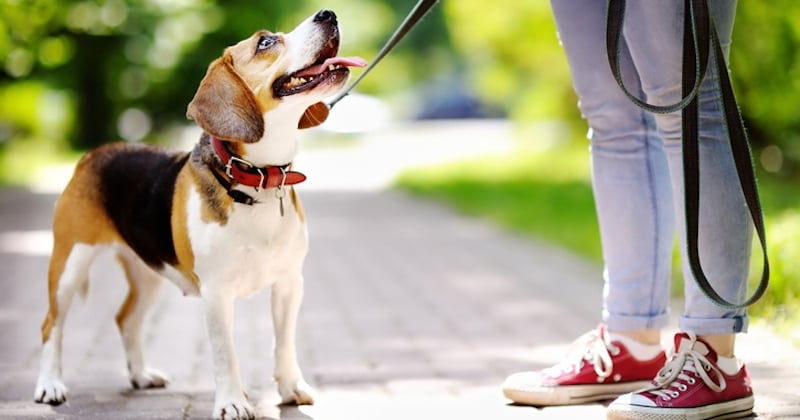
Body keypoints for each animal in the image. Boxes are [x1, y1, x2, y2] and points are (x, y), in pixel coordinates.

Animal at [34, 9, 366, 420]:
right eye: (266, 42)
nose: (328, 14)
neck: (256, 180)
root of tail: (95, 153)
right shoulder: (216, 293)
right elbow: (226, 354)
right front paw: (233, 402)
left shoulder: (290, 283)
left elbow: (284, 342)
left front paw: (291, 388)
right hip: (69, 264)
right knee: (51, 325)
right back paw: (50, 385)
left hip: (149, 273)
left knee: (126, 320)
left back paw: (141, 375)